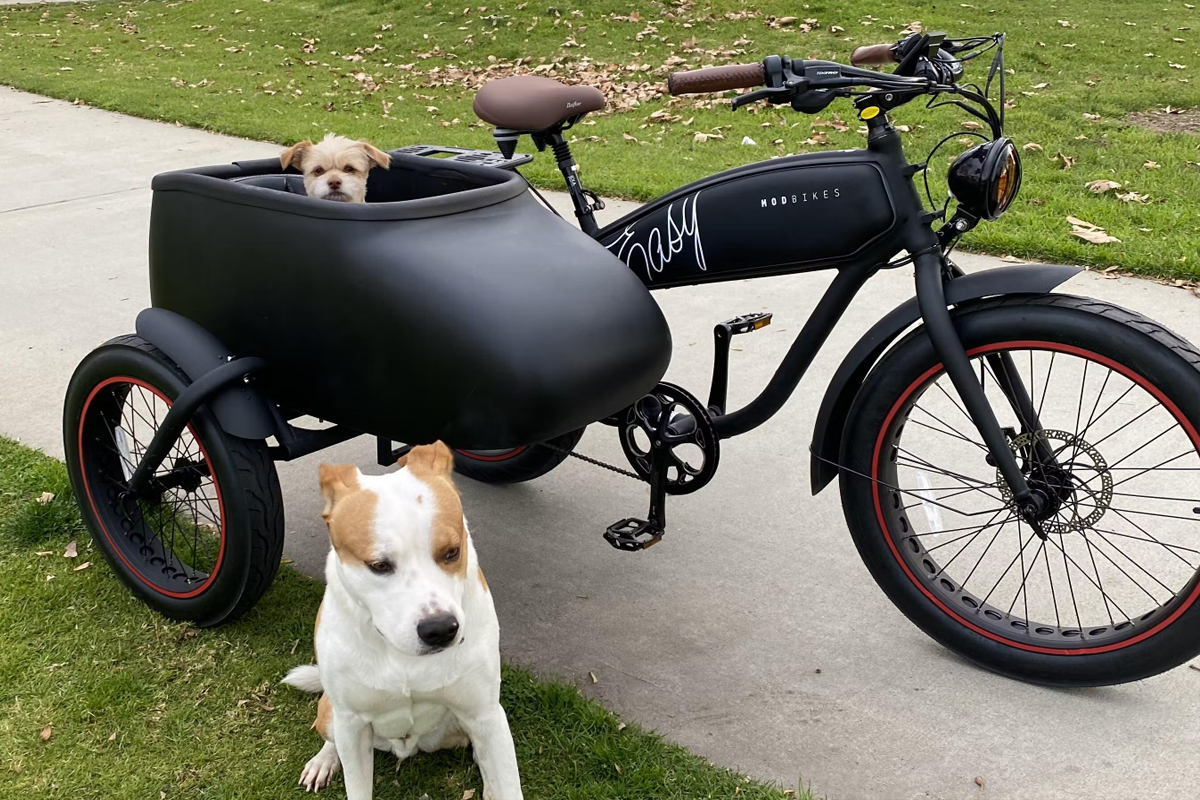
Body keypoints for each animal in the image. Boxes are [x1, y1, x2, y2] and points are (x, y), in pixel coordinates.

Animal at [285, 443, 525, 800]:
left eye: (452, 552)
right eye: (378, 565)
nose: (440, 630)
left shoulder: (485, 715)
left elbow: (506, 780)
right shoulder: (352, 724)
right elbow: (357, 785)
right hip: (332, 715)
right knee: (332, 736)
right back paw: (324, 760)